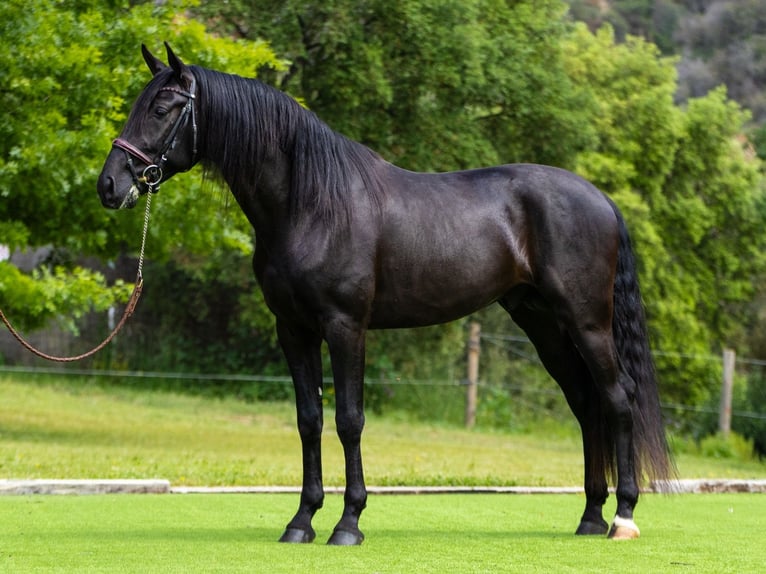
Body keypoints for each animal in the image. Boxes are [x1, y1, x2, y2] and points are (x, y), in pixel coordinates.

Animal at [97, 44, 672, 544]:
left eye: (162, 108)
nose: (109, 184)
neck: (311, 204)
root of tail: (600, 199)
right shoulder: (294, 330)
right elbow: (309, 419)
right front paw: (302, 522)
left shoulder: (346, 327)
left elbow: (349, 420)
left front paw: (348, 523)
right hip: (544, 324)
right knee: (586, 403)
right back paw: (590, 516)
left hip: (587, 321)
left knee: (617, 398)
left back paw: (623, 517)